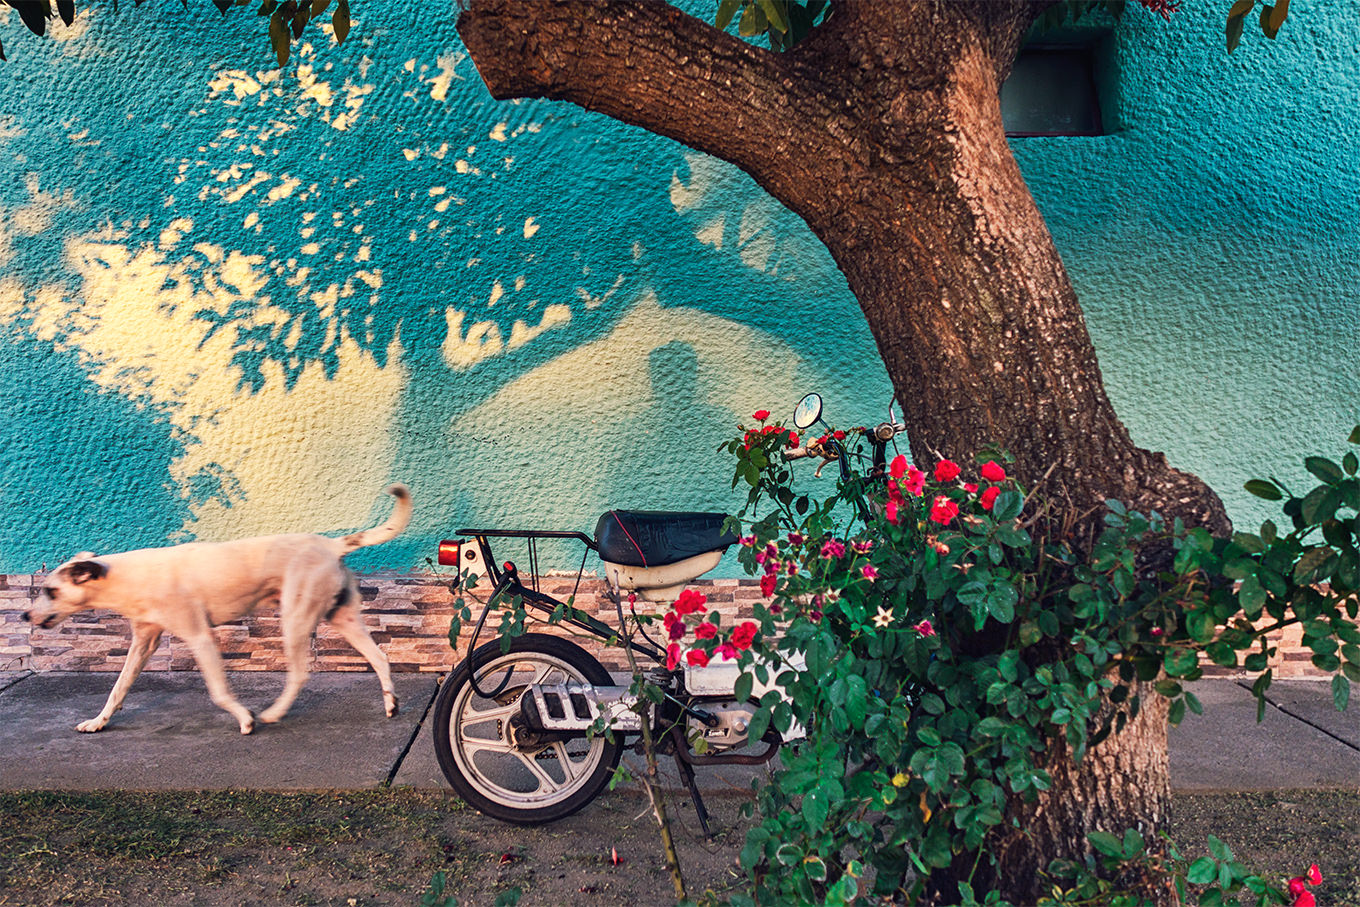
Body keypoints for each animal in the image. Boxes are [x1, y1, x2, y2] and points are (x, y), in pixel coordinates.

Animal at [23, 484, 412, 735]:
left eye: (50, 590)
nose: (25, 616)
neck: (128, 576)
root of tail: (331, 545)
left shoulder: (199, 637)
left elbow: (218, 692)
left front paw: (245, 719)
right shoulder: (143, 643)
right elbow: (118, 688)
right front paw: (98, 722)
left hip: (295, 620)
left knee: (300, 674)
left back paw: (273, 714)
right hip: (343, 619)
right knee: (380, 657)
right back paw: (390, 704)